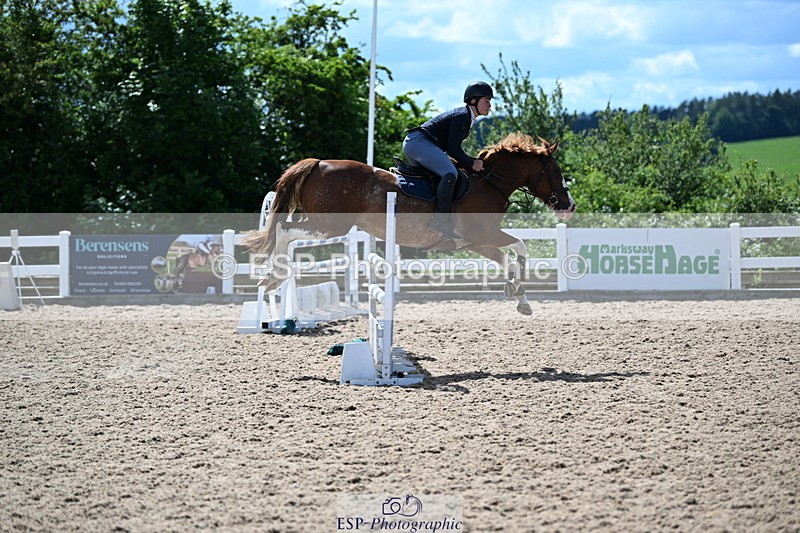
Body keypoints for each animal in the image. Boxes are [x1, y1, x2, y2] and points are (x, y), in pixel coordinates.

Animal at [242, 132, 576, 315]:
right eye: (555, 171)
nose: (569, 206)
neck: (488, 183)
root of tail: (318, 163)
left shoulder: (477, 242)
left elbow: (507, 259)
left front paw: (520, 299)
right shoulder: (485, 233)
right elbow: (520, 247)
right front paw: (518, 292)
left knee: (284, 230)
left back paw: (271, 277)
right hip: (330, 225)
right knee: (285, 230)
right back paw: (274, 276)